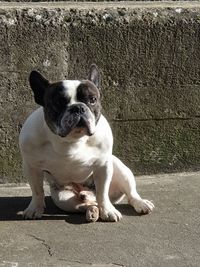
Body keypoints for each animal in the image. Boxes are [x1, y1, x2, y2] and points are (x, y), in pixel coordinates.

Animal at [19, 64, 155, 222]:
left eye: (93, 99)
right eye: (58, 102)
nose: (78, 107)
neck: (71, 140)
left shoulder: (103, 166)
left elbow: (102, 193)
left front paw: (108, 211)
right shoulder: (31, 167)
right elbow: (37, 191)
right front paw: (34, 209)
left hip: (121, 170)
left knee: (129, 193)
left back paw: (140, 203)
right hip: (63, 198)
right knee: (86, 204)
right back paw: (92, 211)